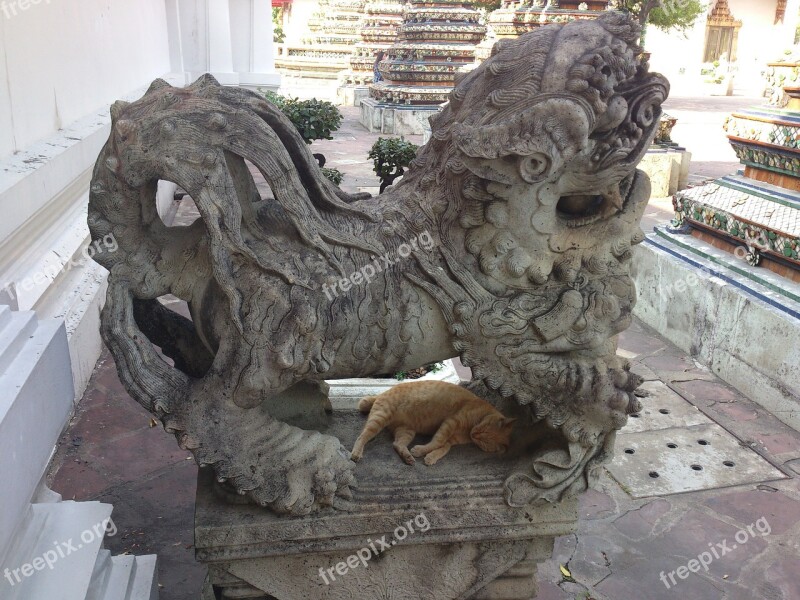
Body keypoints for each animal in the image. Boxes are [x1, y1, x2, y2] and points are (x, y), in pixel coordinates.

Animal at [352, 380, 516, 468]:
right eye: (483, 429)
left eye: (483, 441)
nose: (474, 434)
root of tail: (381, 393)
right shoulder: (450, 422)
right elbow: (437, 442)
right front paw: (421, 450)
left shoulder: (451, 440)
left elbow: (443, 448)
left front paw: (430, 457)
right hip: (380, 418)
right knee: (362, 436)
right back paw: (356, 454)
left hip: (406, 431)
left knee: (397, 444)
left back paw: (408, 457)